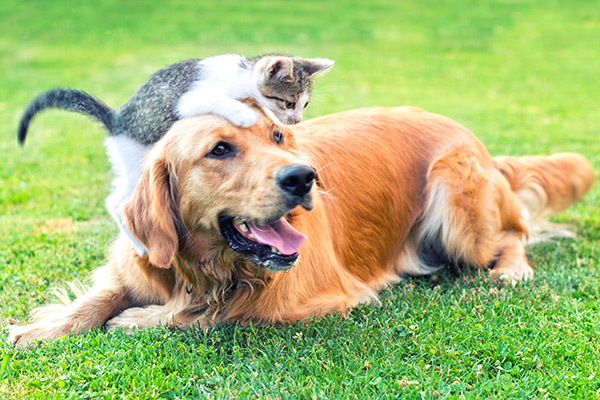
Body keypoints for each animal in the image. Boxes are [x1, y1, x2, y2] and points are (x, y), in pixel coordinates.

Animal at [7, 106, 592, 346]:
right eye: (220, 149)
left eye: (278, 137)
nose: (303, 177)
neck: (209, 269)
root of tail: (475, 140)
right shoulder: (139, 261)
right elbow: (100, 295)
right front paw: (41, 328)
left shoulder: (315, 296)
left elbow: (221, 314)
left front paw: (140, 320)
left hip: (457, 200)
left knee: (514, 233)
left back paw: (512, 270)